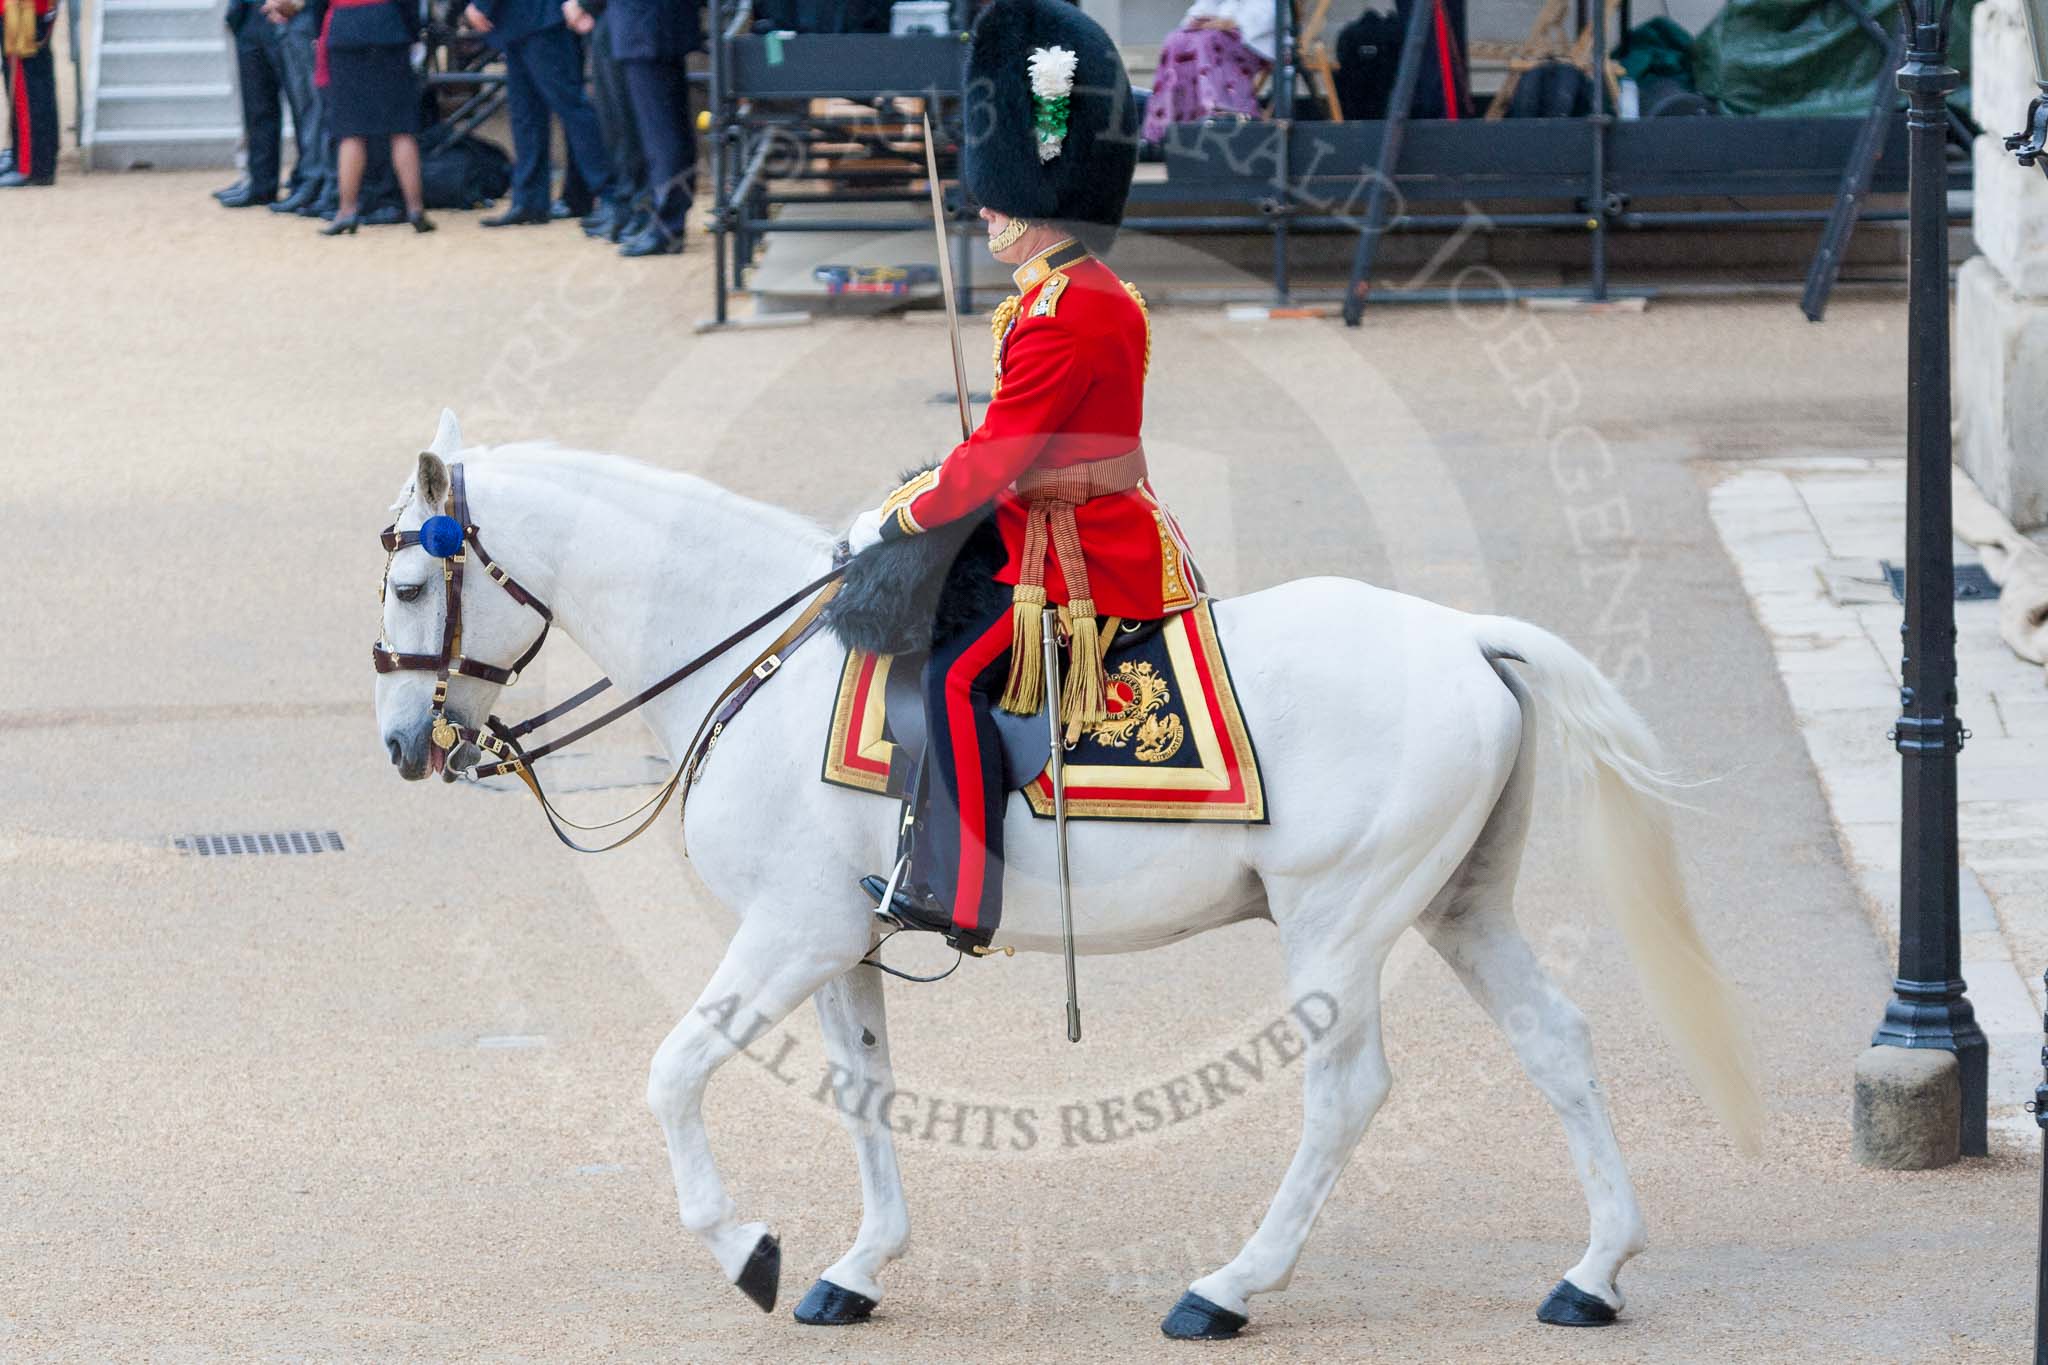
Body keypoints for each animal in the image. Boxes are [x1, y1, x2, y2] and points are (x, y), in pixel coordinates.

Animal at [371, 411, 1761, 1340]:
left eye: (409, 578)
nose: (401, 747)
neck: (756, 658)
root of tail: (1465, 634)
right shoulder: (839, 940)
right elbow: (863, 1094)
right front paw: (859, 1266)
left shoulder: (788, 932)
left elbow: (671, 1074)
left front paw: (744, 1248)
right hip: (1456, 908)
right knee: (1555, 1043)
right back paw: (1592, 1272)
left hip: (1337, 920)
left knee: (1345, 1093)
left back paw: (1227, 1288)